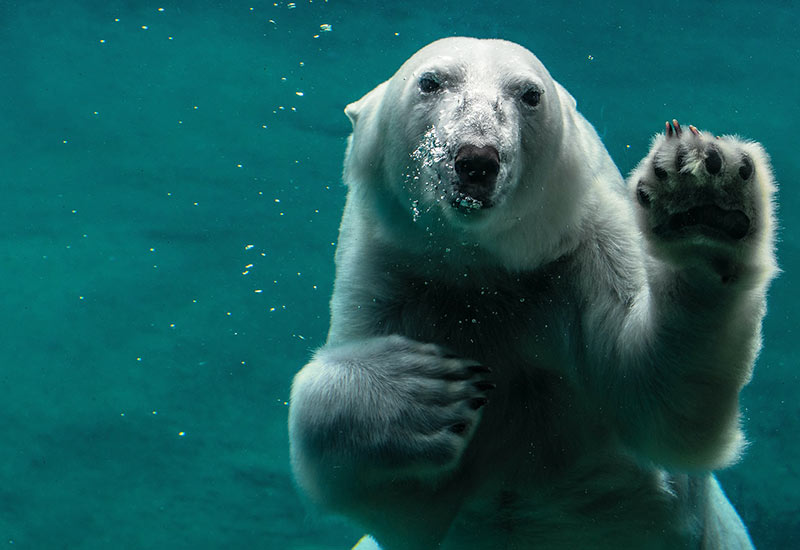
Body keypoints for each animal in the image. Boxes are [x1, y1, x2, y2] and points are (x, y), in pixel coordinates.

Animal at [288, 36, 776, 548]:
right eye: (431, 81)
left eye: (530, 94)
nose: (476, 159)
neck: (486, 267)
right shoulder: (396, 274)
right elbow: (397, 495)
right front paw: (424, 390)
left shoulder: (583, 248)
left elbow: (660, 401)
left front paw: (703, 199)